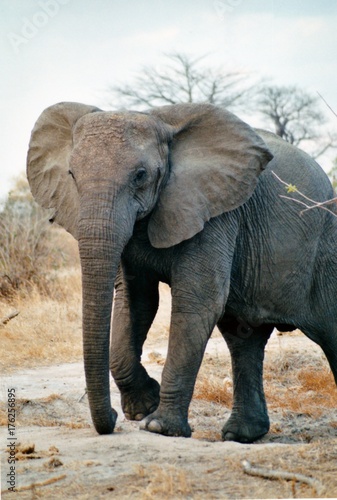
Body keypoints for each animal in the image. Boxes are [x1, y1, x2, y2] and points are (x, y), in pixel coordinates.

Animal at [26, 101, 336, 442]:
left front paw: (158, 426)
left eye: (140, 175)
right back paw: (240, 434)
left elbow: (197, 300)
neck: (160, 121)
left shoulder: (215, 211)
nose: (112, 417)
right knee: (243, 339)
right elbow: (136, 302)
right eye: (71, 174)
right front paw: (142, 406)